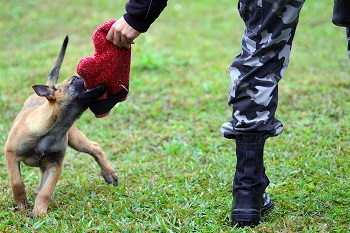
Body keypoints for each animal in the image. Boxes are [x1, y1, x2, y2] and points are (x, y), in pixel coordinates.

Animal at [4, 36, 118, 217]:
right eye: (74, 80)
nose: (86, 73)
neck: (51, 130)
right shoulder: (11, 154)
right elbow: (17, 182)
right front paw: (21, 204)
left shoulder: (55, 165)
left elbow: (46, 191)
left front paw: (40, 211)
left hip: (75, 140)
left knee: (94, 147)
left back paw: (109, 174)